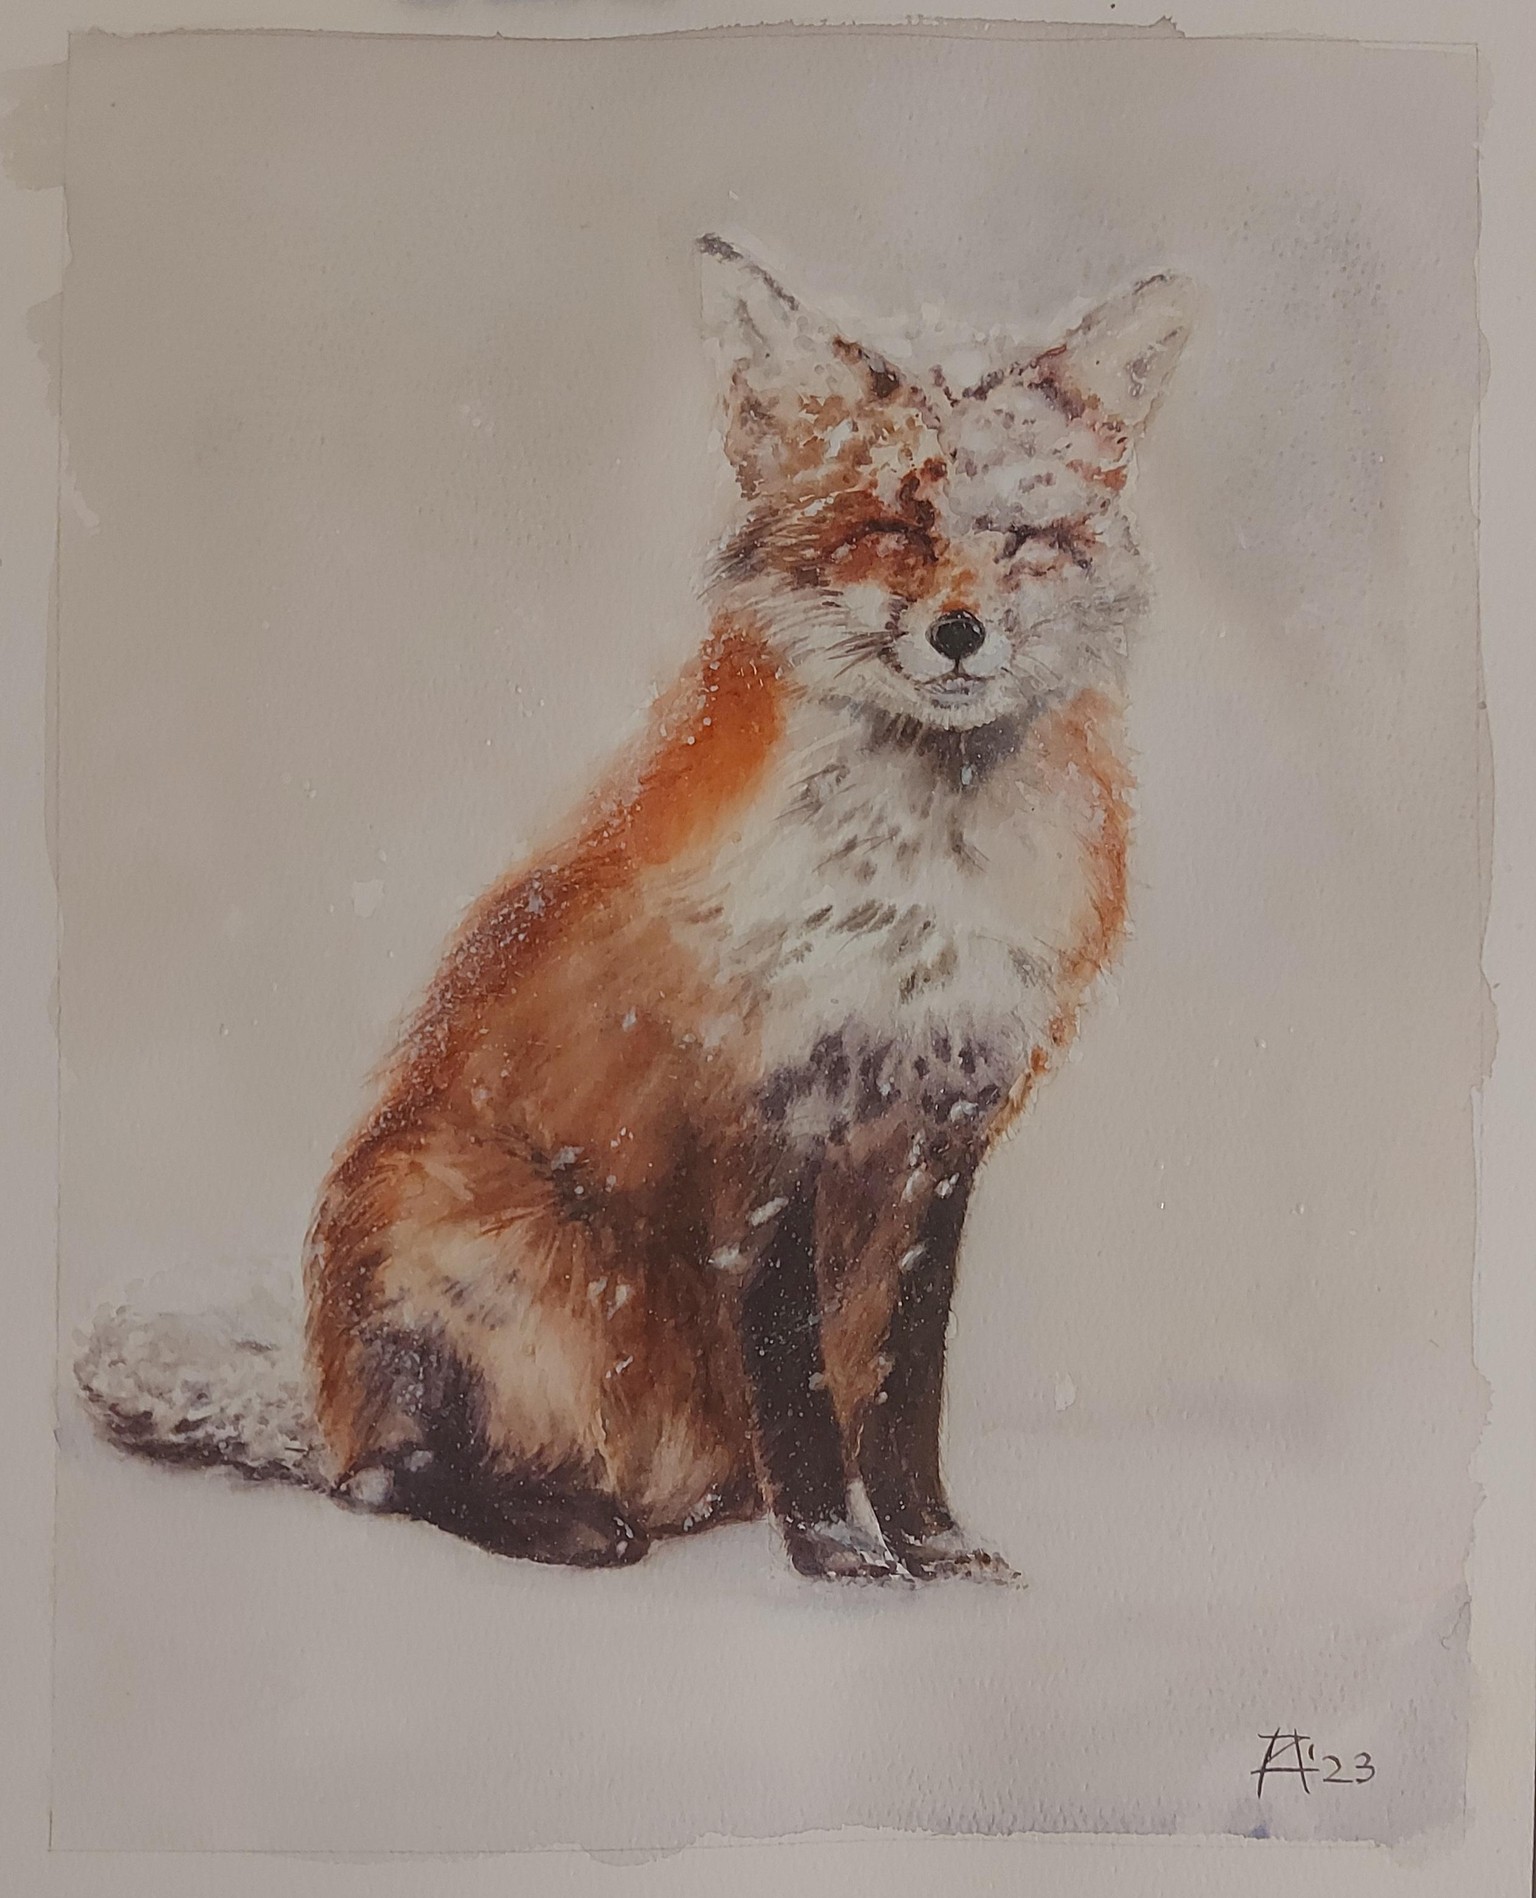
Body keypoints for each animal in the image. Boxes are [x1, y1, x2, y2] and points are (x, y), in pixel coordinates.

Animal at [77, 236, 1193, 1583]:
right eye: (887, 527)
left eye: (1026, 535)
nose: (963, 632)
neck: (919, 894)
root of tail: (324, 1395)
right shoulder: (769, 1114)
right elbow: (796, 1382)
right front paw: (839, 1557)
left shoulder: (945, 1127)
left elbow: (905, 1388)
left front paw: (933, 1547)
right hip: (489, 1258)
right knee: (388, 1480)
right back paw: (563, 1520)